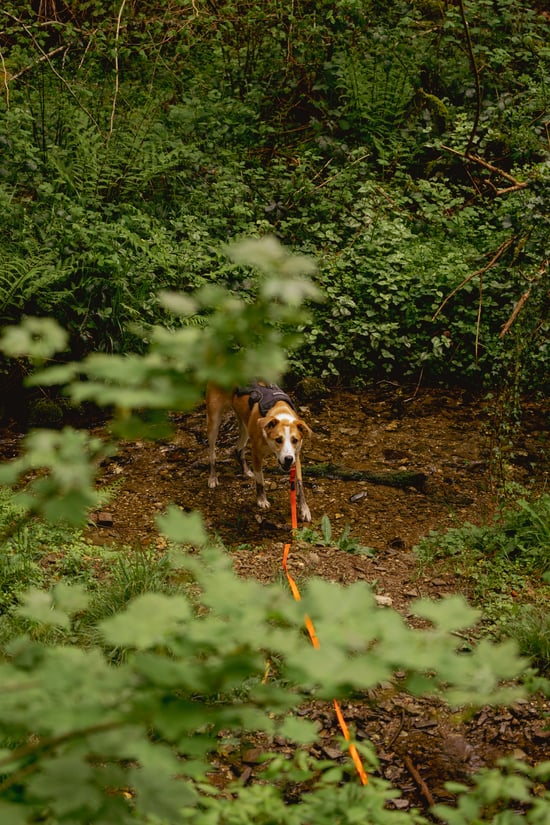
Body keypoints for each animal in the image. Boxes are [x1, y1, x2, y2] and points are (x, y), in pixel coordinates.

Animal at [206, 382, 312, 520]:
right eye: (278, 439)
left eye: (295, 440)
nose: (288, 459)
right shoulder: (256, 454)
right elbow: (260, 479)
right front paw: (261, 500)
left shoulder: (296, 456)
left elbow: (299, 483)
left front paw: (304, 509)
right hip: (214, 421)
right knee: (212, 453)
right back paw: (213, 477)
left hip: (244, 424)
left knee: (238, 448)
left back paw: (246, 471)